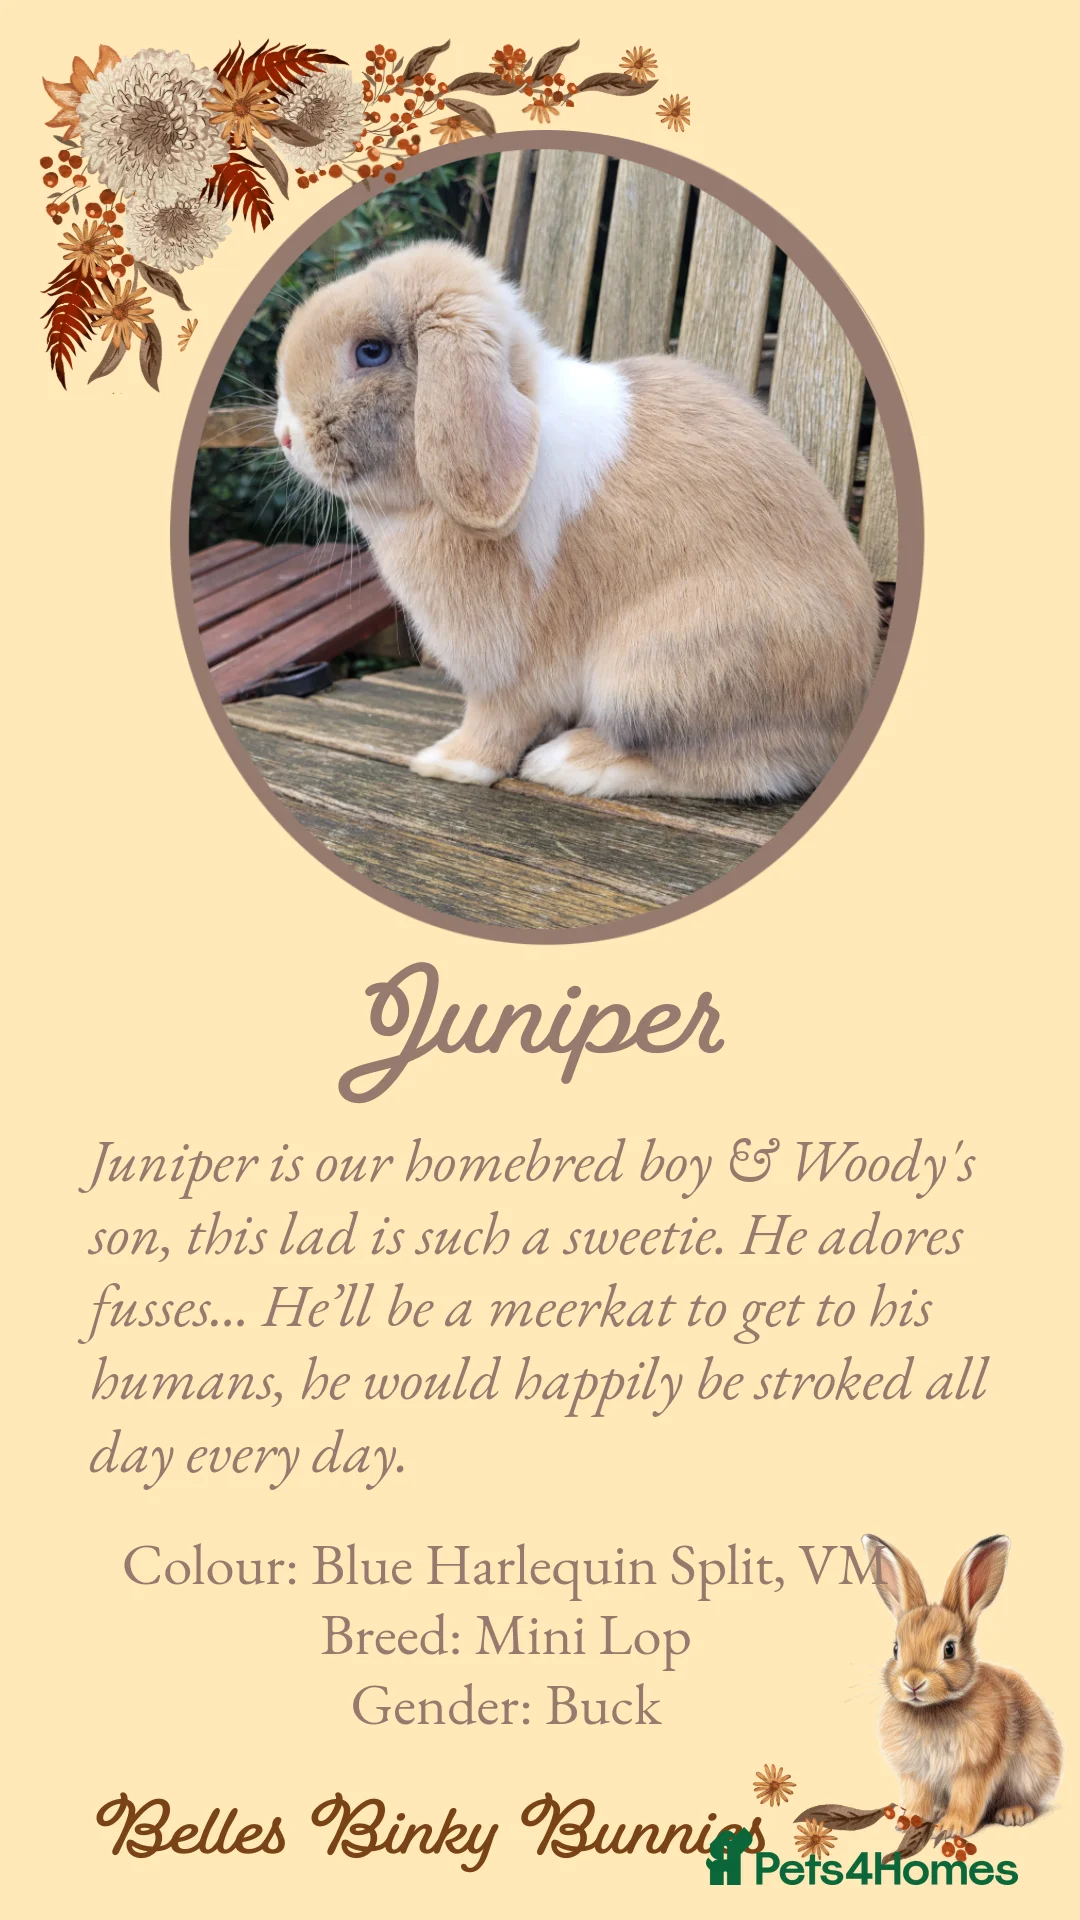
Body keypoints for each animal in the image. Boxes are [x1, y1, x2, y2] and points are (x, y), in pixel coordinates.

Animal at [274, 238, 880, 801]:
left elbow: (495, 720)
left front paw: (447, 763)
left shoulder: (503, 662)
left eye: (371, 351)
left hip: (660, 670)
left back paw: (567, 763)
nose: (285, 436)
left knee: (726, 767)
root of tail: (843, 715)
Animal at [862, 1533, 1062, 1840]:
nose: (913, 1681)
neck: (932, 1709)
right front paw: (909, 1822)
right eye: (896, 1648)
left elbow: (967, 1797)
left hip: (1031, 1769)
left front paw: (952, 1828)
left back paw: (1014, 1813)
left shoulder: (974, 1767)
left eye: (949, 1649)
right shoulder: (917, 1773)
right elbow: (918, 1797)